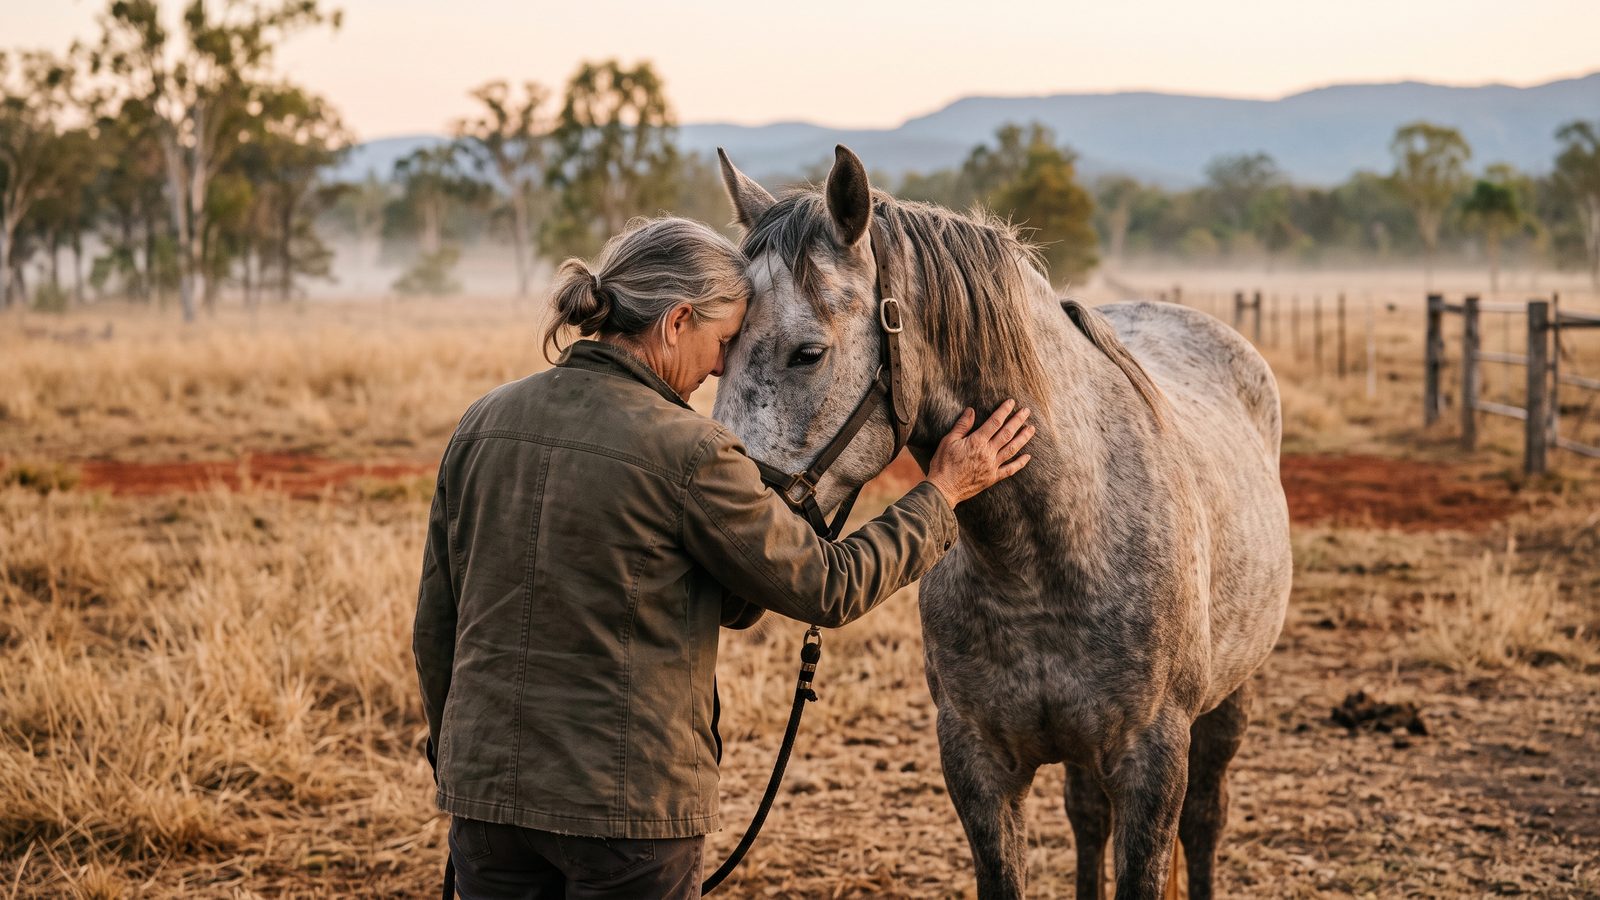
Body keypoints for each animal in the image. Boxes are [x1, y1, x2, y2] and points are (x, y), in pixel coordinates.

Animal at [710, 145, 1292, 900]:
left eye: (806, 353)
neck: (1046, 555)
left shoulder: (1153, 762)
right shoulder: (978, 765)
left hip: (1228, 702)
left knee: (1204, 822)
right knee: (1087, 820)